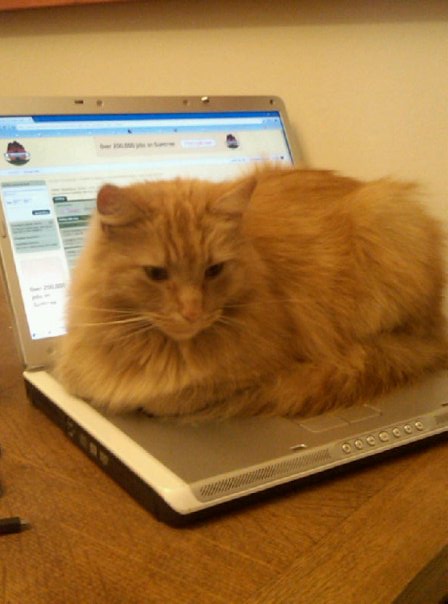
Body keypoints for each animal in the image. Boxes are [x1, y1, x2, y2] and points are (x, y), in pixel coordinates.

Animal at [55, 165, 448, 419]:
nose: (193, 312)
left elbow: (173, 397)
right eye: (156, 274)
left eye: (213, 270)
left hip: (384, 220)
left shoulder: (261, 368)